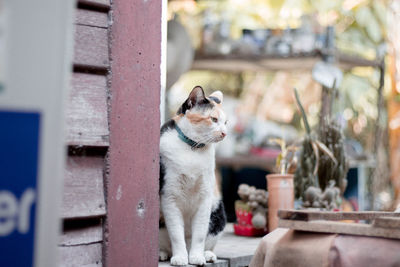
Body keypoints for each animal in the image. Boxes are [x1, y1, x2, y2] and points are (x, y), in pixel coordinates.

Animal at [159, 86, 228, 266]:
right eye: (213, 119)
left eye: (226, 122)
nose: (224, 133)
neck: (192, 148)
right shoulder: (169, 197)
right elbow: (176, 234)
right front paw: (180, 258)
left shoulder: (205, 198)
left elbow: (199, 235)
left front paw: (196, 257)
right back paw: (163, 253)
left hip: (218, 215)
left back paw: (207, 255)